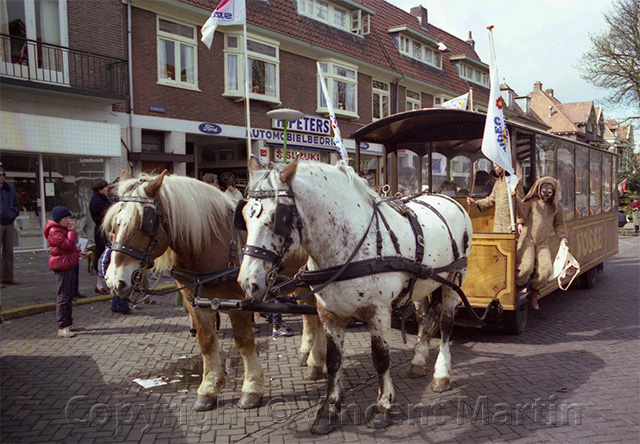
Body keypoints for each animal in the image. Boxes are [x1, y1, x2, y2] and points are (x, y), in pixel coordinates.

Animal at [104, 171, 324, 412]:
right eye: (113, 225)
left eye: (145, 223)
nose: (114, 281)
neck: (211, 243)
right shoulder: (196, 304)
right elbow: (207, 343)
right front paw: (208, 389)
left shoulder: (238, 303)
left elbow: (244, 343)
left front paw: (251, 389)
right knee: (311, 317)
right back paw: (307, 354)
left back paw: (315, 361)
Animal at [238, 159, 472, 434]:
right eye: (244, 215)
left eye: (277, 218)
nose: (248, 282)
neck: (348, 247)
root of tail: (447, 197)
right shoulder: (330, 314)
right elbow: (333, 361)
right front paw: (328, 411)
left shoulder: (378, 312)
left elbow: (380, 359)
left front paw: (383, 407)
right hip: (423, 285)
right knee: (425, 319)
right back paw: (418, 361)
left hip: (454, 280)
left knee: (445, 326)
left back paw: (441, 375)